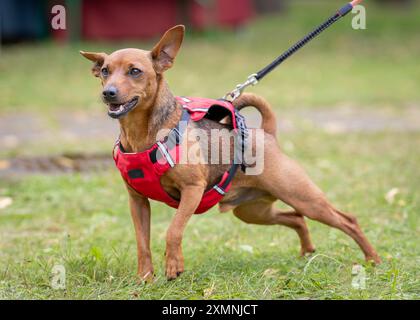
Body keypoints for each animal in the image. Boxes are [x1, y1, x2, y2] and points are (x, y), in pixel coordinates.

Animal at [79, 25, 380, 282]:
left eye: (135, 71)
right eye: (105, 71)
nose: (108, 93)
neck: (144, 134)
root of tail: (267, 134)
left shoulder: (192, 191)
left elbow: (173, 230)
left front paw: (174, 266)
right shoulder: (137, 202)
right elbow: (143, 243)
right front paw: (144, 279)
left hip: (305, 198)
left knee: (347, 220)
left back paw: (373, 259)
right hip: (253, 212)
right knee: (295, 218)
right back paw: (307, 252)